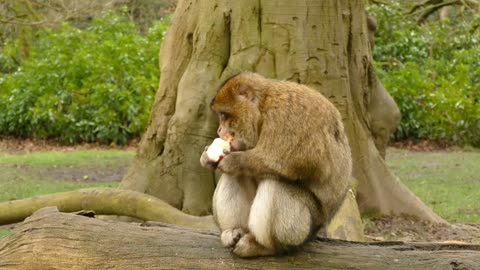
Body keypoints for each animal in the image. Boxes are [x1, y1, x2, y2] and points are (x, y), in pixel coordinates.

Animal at [199, 71, 352, 258]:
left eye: (223, 115)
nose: (219, 130)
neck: (262, 109)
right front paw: (207, 156)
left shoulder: (286, 116)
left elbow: (290, 161)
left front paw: (233, 160)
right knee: (236, 176)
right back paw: (235, 231)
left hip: (303, 231)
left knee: (276, 184)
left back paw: (264, 246)